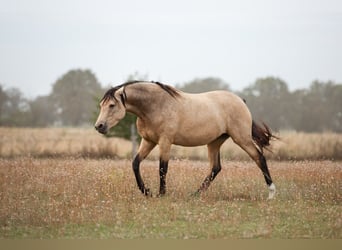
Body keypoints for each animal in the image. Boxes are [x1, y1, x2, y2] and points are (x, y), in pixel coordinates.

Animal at [95, 80, 276, 199]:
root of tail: (241, 101)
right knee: (215, 168)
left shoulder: (165, 142)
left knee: (259, 158)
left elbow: (162, 168)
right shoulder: (148, 141)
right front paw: (146, 191)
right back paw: (195, 194)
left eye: (112, 105)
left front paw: (161, 194)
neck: (155, 106)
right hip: (214, 142)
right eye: (101, 105)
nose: (99, 126)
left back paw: (271, 193)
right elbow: (135, 163)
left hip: (242, 138)